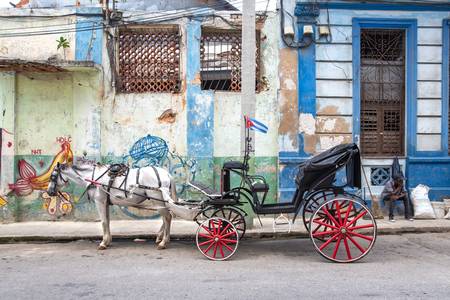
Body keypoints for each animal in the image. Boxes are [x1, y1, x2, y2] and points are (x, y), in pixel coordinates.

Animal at [46, 163, 178, 250]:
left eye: (52, 176)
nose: (49, 192)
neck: (93, 178)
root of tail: (166, 174)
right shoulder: (106, 202)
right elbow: (107, 221)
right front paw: (108, 240)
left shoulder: (99, 201)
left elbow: (103, 222)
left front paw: (103, 243)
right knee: (167, 216)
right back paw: (160, 238)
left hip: (157, 198)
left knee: (167, 217)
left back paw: (163, 242)